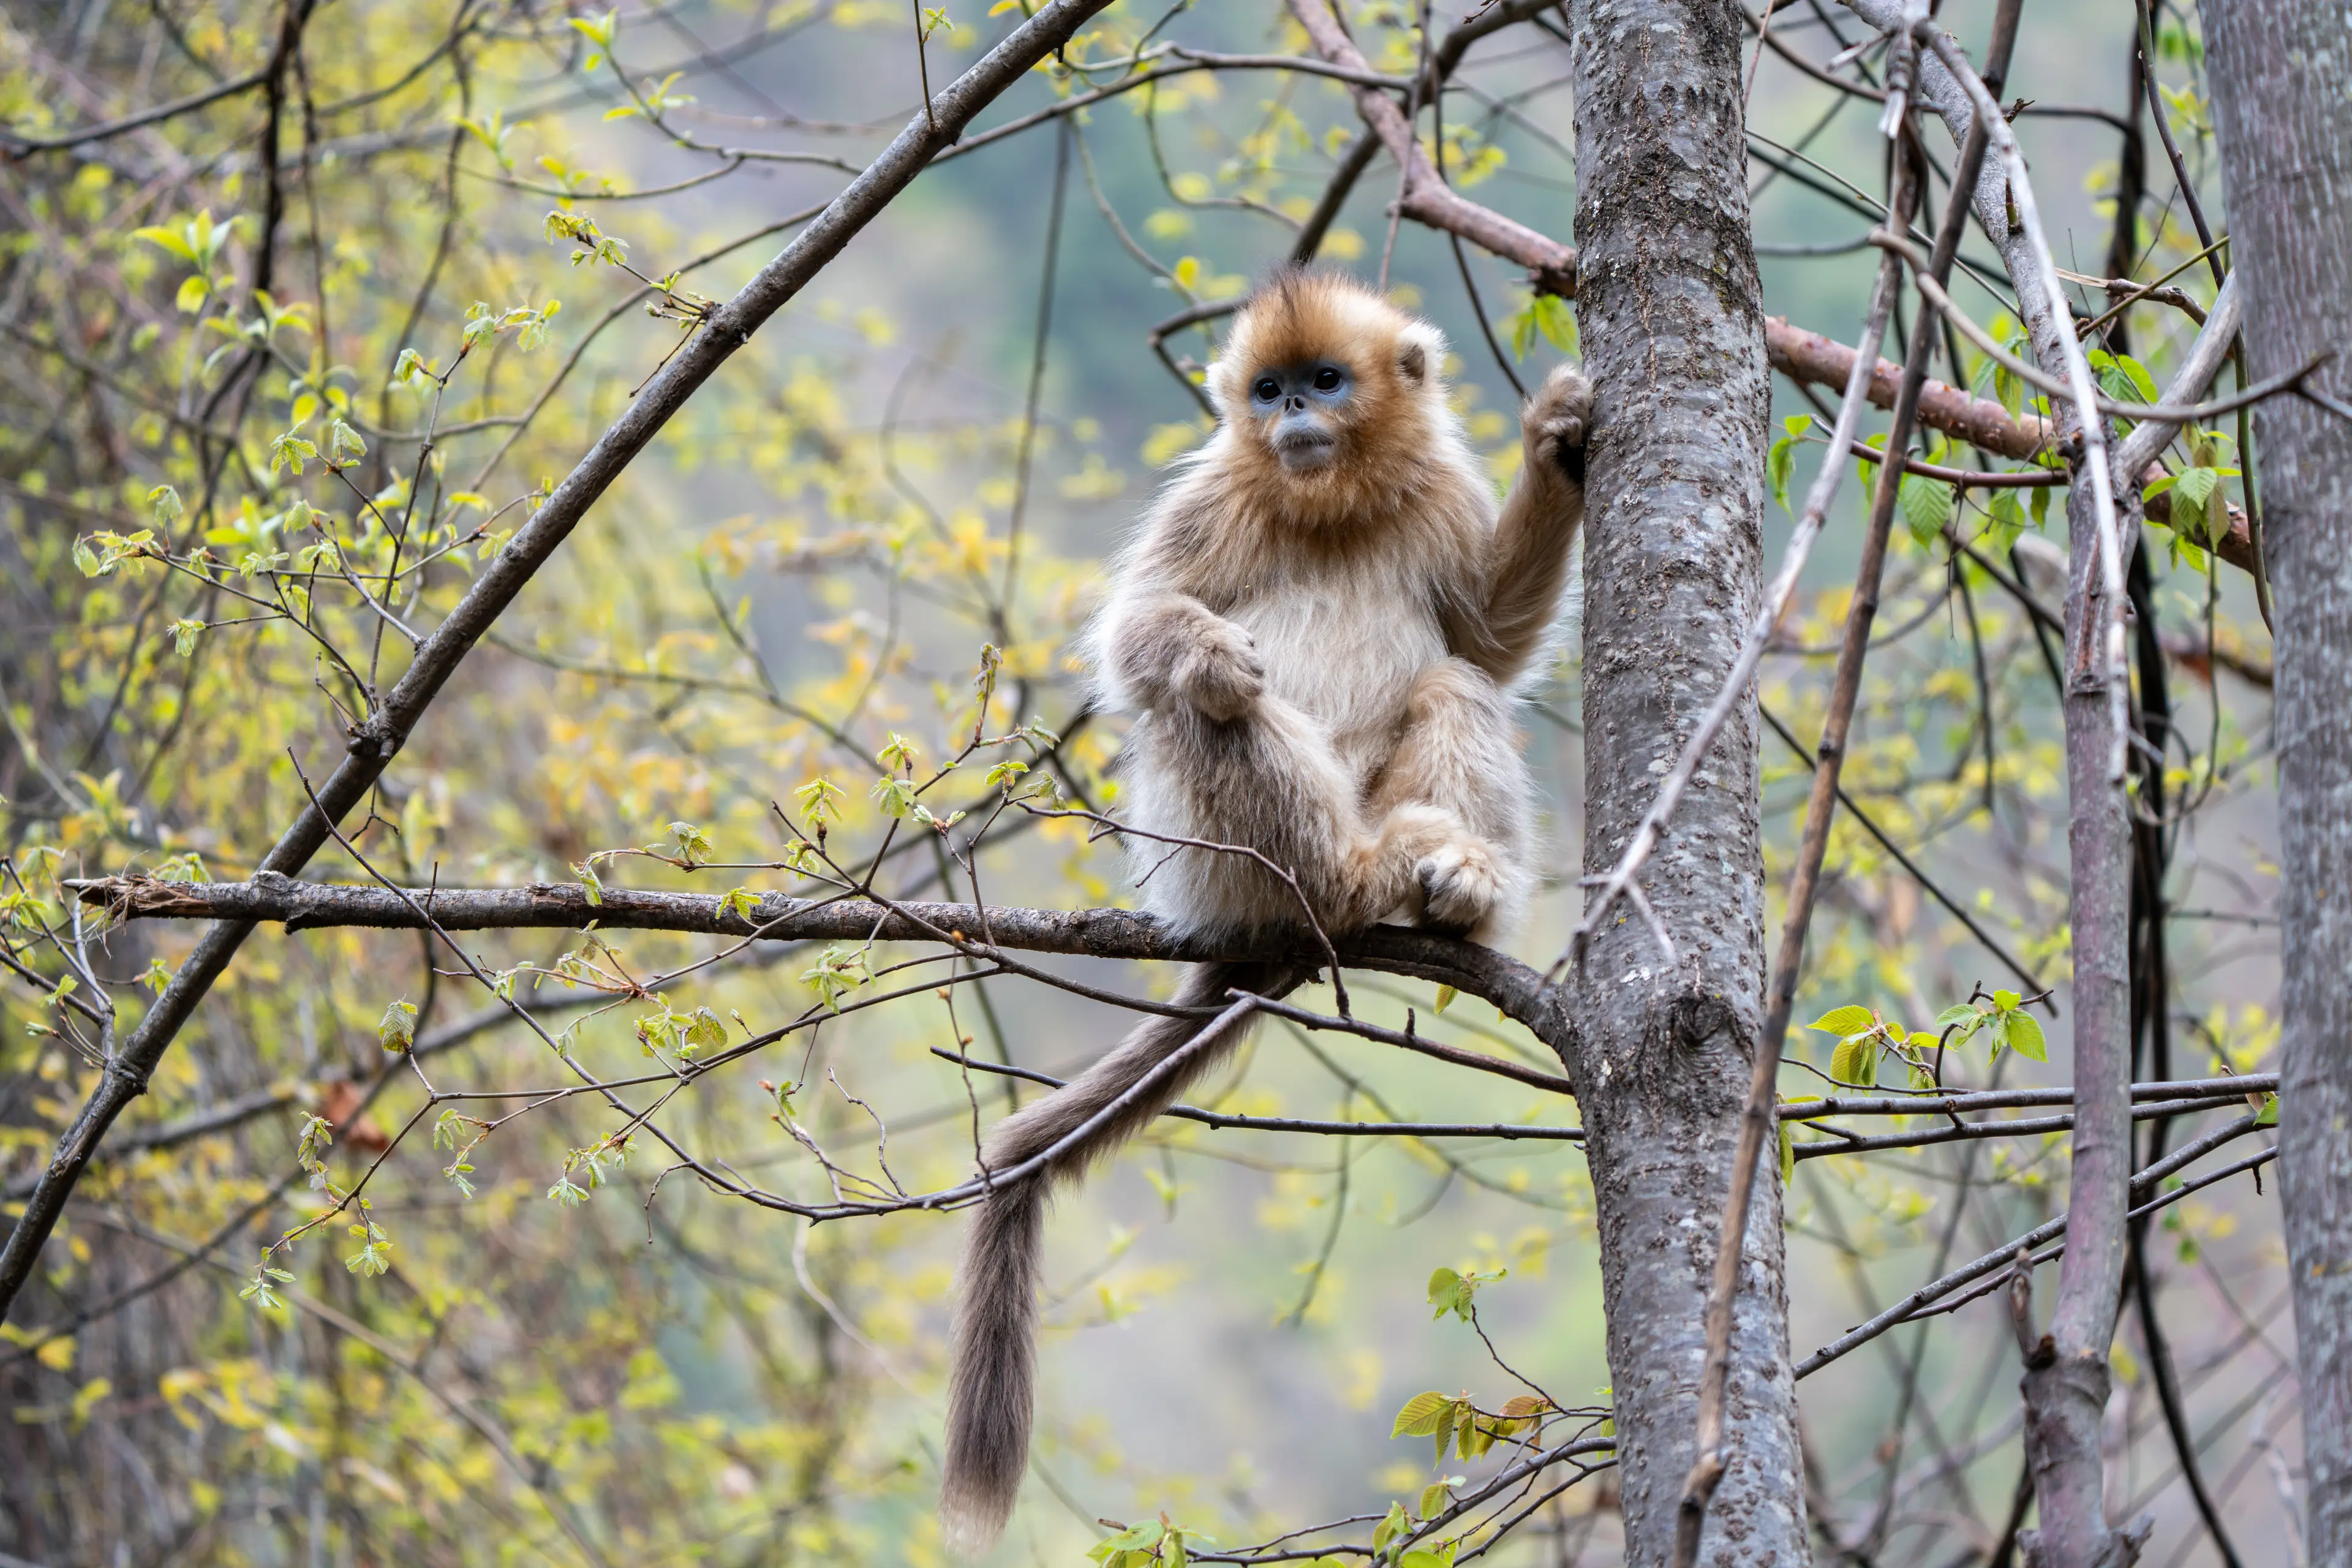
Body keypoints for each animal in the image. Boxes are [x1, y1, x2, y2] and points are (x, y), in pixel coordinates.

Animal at [940, 269, 1591, 1554]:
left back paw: (1453, 886)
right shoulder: (1213, 494)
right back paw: (1351, 873)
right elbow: (1138, 638)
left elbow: (1486, 639)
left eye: (1326, 382)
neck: (1329, 507)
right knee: (1213, 720)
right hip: (1206, 858)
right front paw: (1199, 653)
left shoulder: (1439, 495)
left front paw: (1554, 443)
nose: (1293, 414)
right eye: (1272, 389)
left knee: (1455, 681)